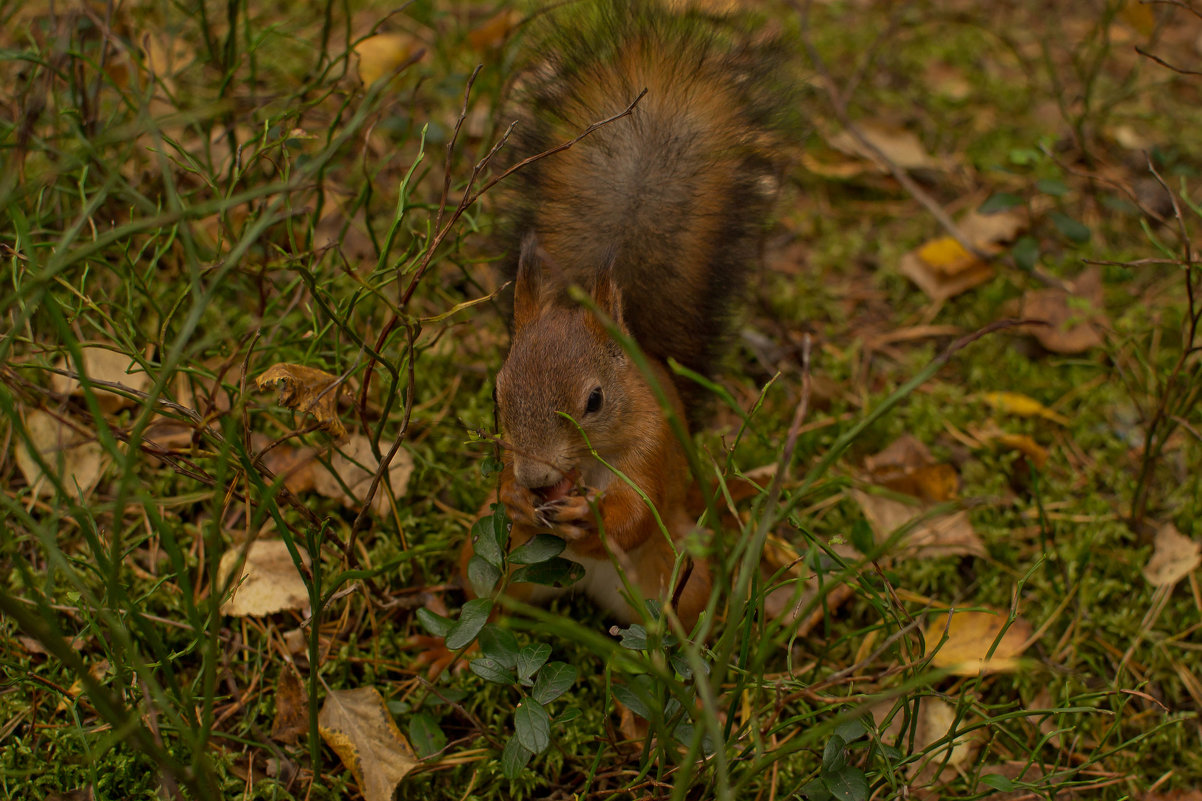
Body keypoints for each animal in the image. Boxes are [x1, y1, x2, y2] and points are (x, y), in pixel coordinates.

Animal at [459, 3, 788, 635]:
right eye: (497, 394)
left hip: (682, 577)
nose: (535, 479)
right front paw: (515, 496)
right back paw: (445, 649)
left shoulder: (653, 447)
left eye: (594, 401)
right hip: (492, 558)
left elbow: (636, 516)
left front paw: (592, 520)